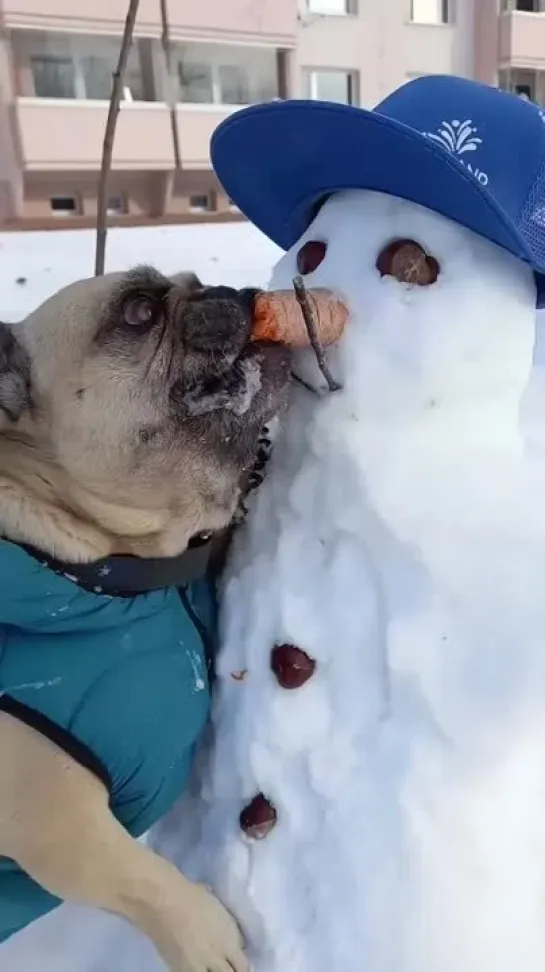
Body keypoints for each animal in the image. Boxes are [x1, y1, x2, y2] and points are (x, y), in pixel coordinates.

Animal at [0, 268, 292, 972]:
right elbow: (135, 877)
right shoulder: (47, 820)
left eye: (192, 282)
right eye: (137, 311)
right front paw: (207, 942)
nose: (231, 291)